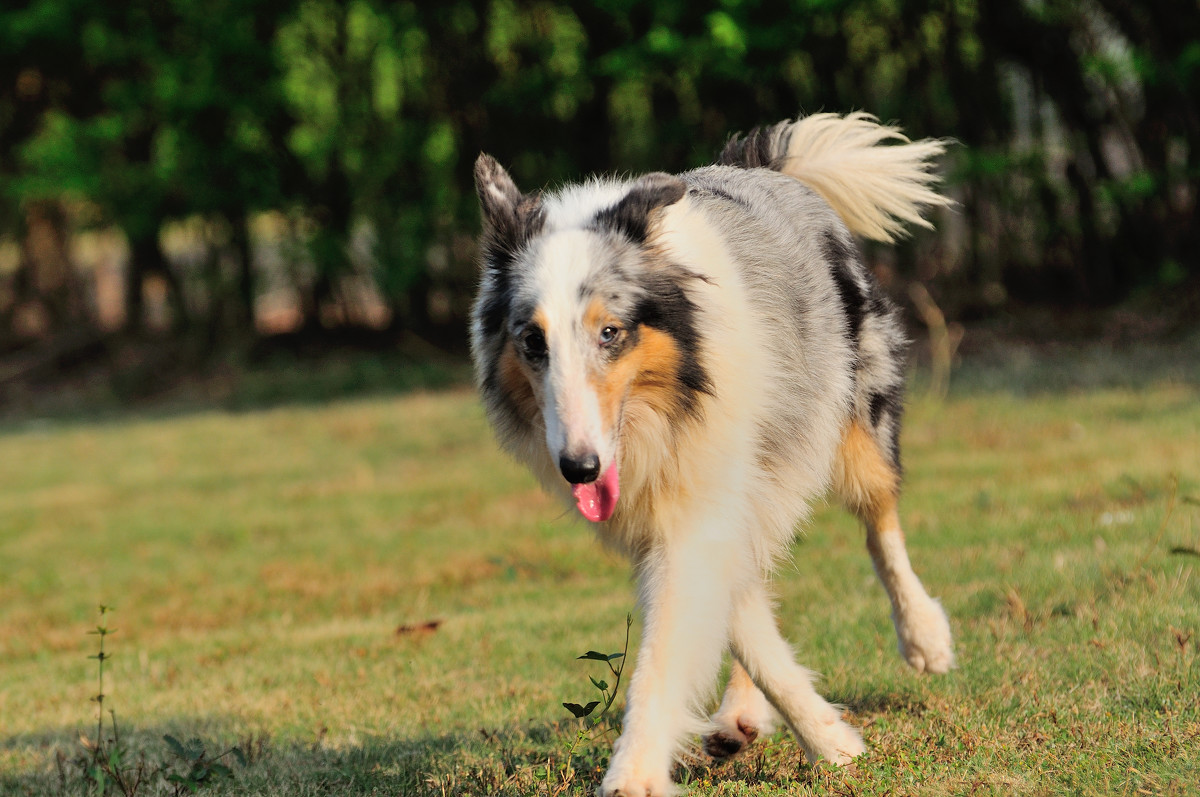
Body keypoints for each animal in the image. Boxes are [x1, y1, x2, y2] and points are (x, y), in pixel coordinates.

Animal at [468, 113, 955, 797]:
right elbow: (740, 624)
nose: (580, 469)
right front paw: (829, 740)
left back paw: (923, 637)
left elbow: (666, 655)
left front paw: (634, 774)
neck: (662, 409)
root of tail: (764, 168)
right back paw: (741, 715)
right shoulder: (672, 518)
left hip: (849, 419)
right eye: (532, 342)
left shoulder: (701, 508)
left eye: (610, 332)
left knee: (879, 520)